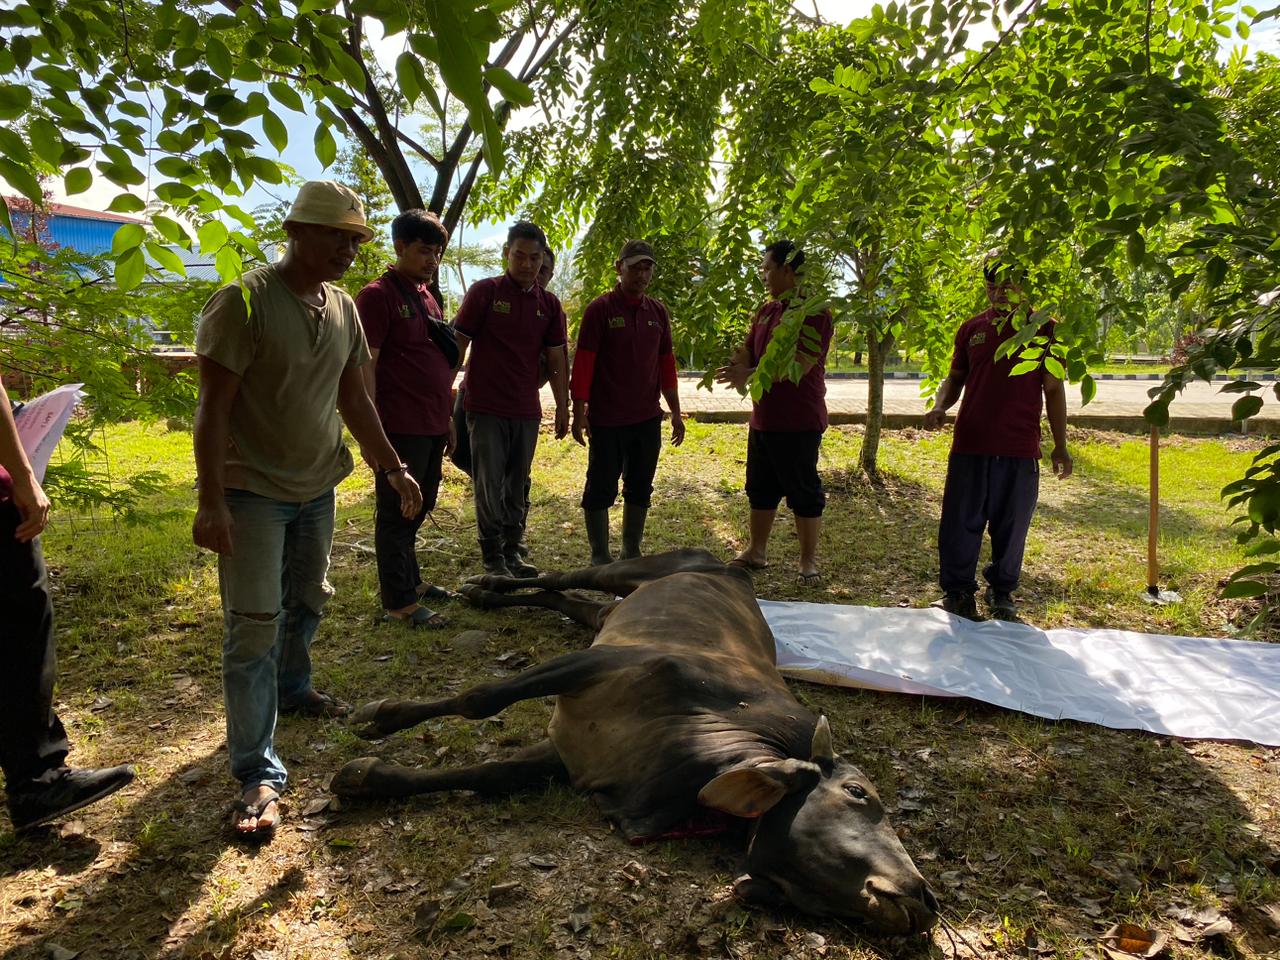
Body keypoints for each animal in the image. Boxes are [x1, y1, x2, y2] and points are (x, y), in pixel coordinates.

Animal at [335, 552, 936, 936]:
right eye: (859, 793)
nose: (926, 899)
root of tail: (734, 570)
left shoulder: (573, 756)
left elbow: (488, 774)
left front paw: (365, 778)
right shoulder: (597, 664)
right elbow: (480, 698)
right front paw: (378, 718)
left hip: (608, 611)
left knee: (564, 598)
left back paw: (485, 594)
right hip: (633, 570)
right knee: (564, 574)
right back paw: (489, 581)